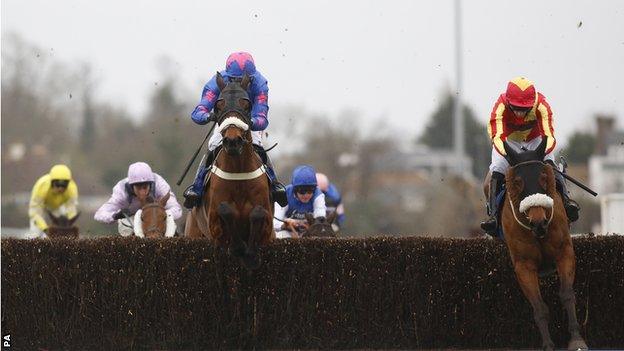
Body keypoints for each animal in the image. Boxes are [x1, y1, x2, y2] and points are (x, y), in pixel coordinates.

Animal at [494, 140, 588, 351]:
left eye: (544, 177)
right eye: (517, 182)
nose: (539, 222)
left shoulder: (564, 253)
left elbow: (567, 295)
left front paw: (576, 339)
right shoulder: (524, 265)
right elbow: (539, 307)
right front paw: (547, 344)